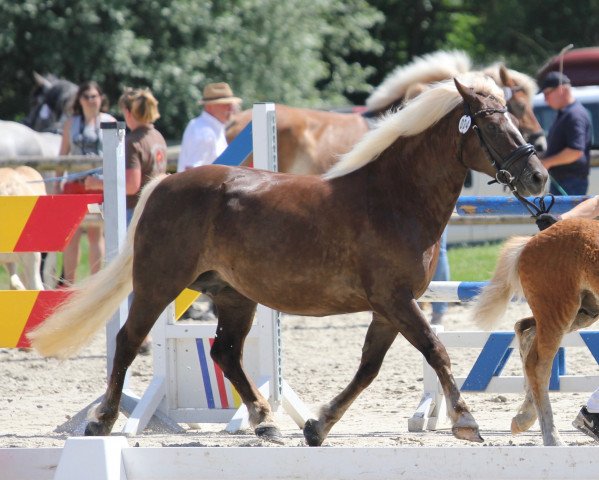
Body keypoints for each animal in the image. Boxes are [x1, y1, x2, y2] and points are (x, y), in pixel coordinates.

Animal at [28, 74, 548, 446]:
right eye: (492, 124)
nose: (539, 176)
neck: (393, 198)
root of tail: (164, 184)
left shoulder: (388, 309)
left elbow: (368, 368)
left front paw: (318, 426)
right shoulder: (397, 301)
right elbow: (436, 351)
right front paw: (466, 420)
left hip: (234, 297)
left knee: (225, 353)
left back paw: (265, 421)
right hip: (159, 285)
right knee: (128, 341)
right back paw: (102, 421)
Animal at [472, 220, 599, 446]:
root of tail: (532, 240)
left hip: (584, 311)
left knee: (525, 330)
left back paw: (523, 417)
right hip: (558, 309)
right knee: (538, 365)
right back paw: (552, 438)